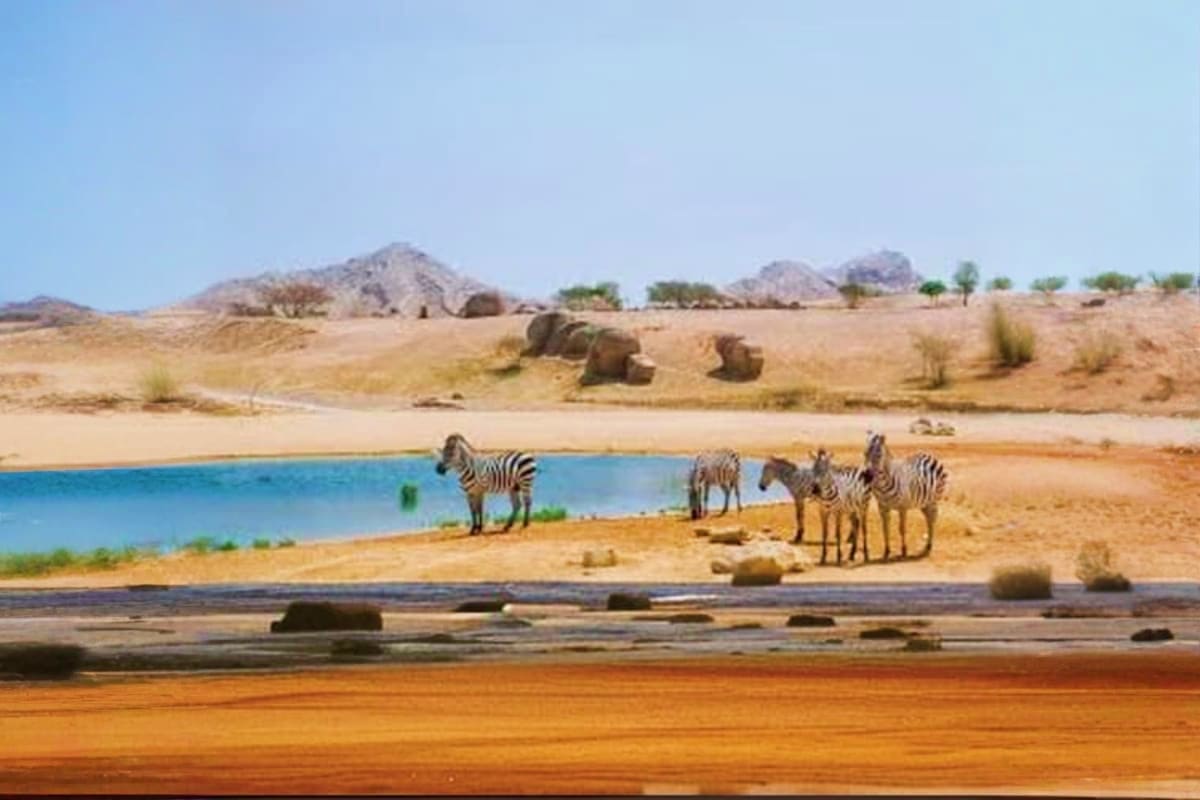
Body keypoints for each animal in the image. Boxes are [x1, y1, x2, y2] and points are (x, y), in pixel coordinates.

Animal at [862, 431, 947, 559]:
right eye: (865, 453)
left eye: (878, 455)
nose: (867, 476)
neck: (883, 484)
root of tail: (928, 454)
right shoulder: (882, 507)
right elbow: (885, 528)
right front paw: (886, 551)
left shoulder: (903, 507)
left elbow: (901, 529)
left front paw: (904, 550)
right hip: (924, 502)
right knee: (928, 519)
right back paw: (927, 545)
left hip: (934, 499)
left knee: (932, 520)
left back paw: (929, 546)